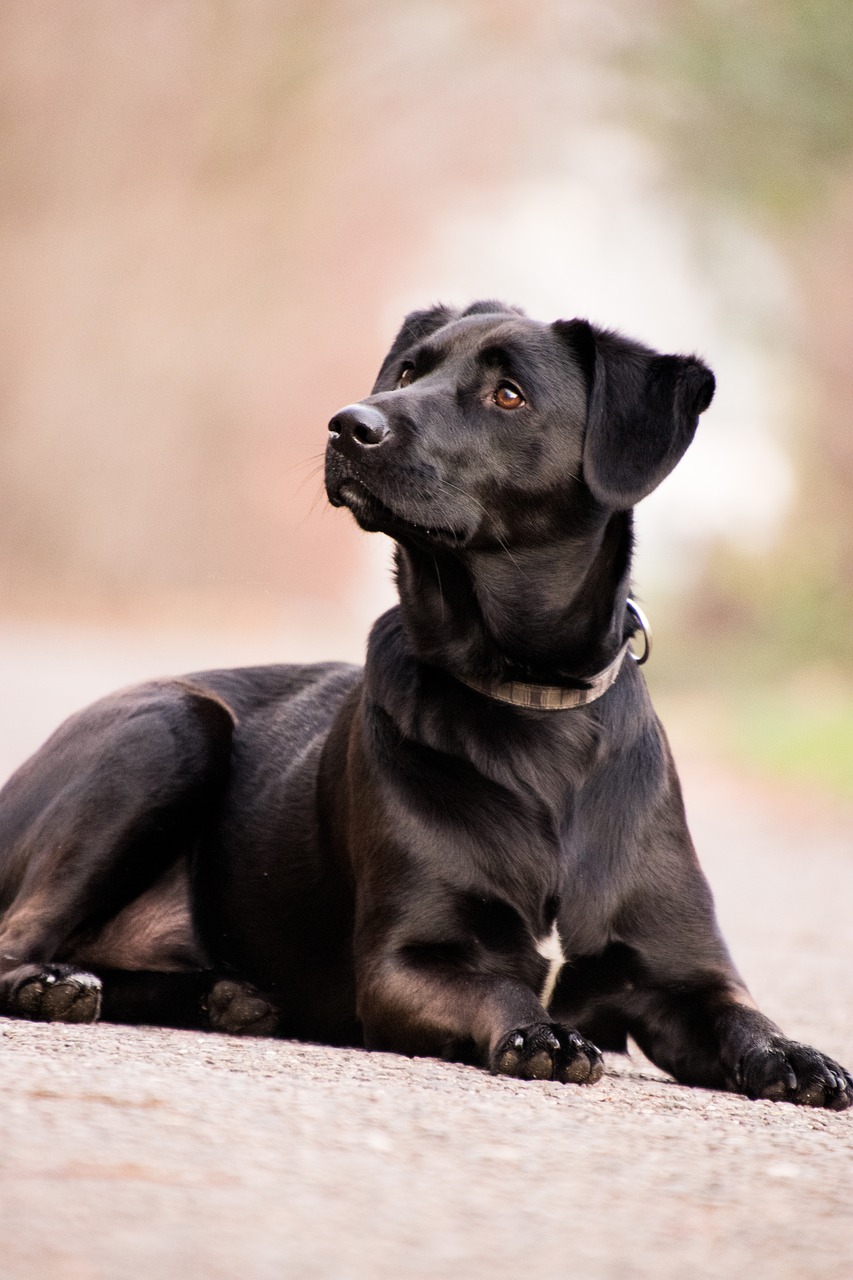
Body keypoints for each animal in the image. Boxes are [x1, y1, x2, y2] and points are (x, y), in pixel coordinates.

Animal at [0, 304, 845, 1105]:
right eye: (408, 370)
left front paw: (795, 1055)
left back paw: (225, 997)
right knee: (19, 939)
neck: (532, 703)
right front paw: (543, 1033)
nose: (349, 424)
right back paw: (55, 985)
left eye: (508, 395)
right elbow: (497, 983)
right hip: (172, 729)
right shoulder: (403, 963)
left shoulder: (683, 975)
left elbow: (742, 1014)